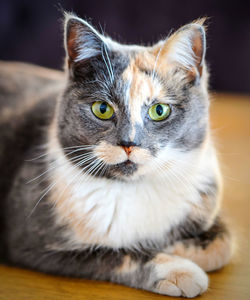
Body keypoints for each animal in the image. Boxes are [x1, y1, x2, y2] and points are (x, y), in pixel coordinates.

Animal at [0, 11, 233, 298]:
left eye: (159, 110)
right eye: (102, 109)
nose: (128, 142)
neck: (134, 189)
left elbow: (223, 243)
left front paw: (175, 247)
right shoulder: (34, 243)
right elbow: (117, 254)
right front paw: (177, 268)